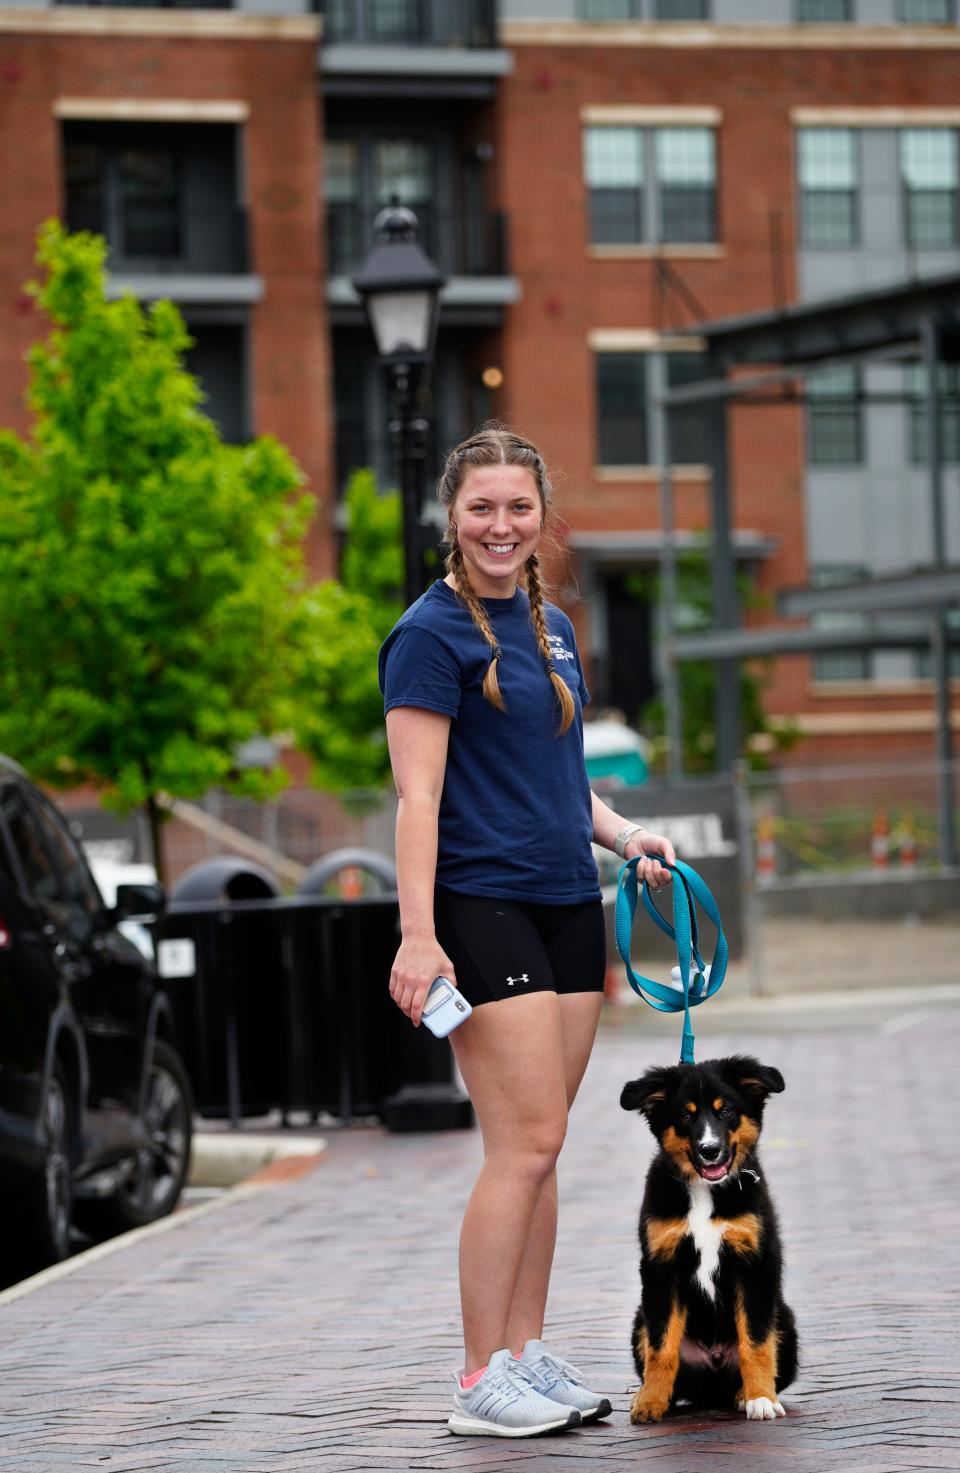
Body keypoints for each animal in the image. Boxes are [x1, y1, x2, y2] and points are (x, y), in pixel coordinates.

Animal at [618, 1060, 800, 1425]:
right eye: (686, 1117)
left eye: (725, 1111)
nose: (710, 1150)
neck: (705, 1191)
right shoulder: (660, 1268)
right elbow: (661, 1346)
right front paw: (650, 1401)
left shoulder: (756, 1263)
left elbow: (756, 1342)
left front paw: (761, 1398)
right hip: (639, 1321)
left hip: (785, 1320)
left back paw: (745, 1394)